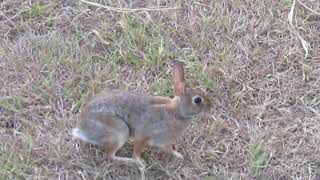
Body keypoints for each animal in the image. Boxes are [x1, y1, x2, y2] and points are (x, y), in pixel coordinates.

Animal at [72, 60, 212, 169]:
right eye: (197, 100)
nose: (210, 106)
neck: (177, 112)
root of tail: (83, 129)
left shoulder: (163, 141)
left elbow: (168, 149)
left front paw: (178, 155)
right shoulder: (144, 134)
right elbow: (137, 151)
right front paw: (140, 163)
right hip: (120, 130)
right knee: (109, 155)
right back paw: (131, 162)